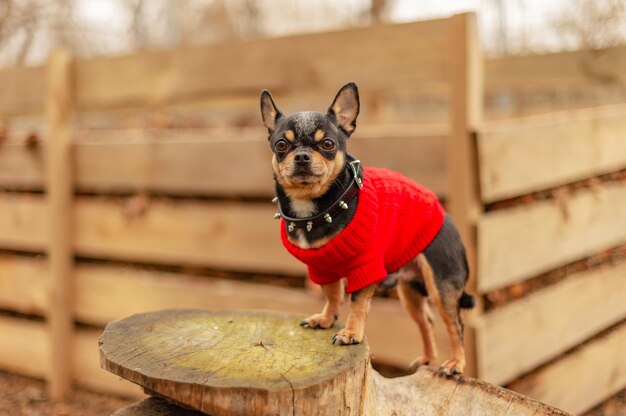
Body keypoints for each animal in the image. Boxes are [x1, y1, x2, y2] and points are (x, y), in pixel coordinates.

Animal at [260, 82, 472, 376]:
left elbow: (357, 304)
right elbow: (332, 295)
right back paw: (428, 359)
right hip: (411, 293)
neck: (319, 207)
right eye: (281, 145)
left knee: (456, 325)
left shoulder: (365, 268)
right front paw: (326, 318)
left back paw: (455, 363)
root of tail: (446, 216)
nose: (301, 156)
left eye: (327, 144)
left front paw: (350, 333)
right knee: (426, 322)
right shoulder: (322, 269)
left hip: (442, 287)